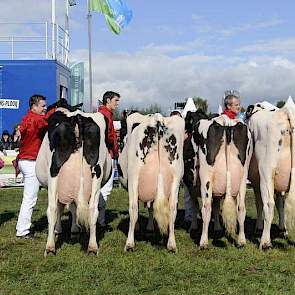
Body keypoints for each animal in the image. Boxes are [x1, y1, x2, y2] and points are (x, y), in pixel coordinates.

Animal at [35, 110, 112, 256]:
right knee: (92, 209)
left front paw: (59, 229)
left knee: (52, 209)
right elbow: (74, 206)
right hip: (96, 173)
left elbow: (61, 207)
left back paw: (50, 247)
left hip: (53, 172)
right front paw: (75, 229)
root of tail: (77, 116)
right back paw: (92, 247)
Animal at [118, 112, 185, 252]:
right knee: (172, 208)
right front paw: (150, 228)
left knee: (133, 208)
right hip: (176, 176)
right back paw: (171, 244)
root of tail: (157, 118)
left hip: (134, 176)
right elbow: (151, 207)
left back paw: (129, 243)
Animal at [192, 114, 254, 249]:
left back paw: (203, 242)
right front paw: (217, 228)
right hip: (243, 177)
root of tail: (226, 122)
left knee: (206, 207)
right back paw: (241, 241)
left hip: (206, 176)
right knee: (241, 208)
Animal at [249, 97, 295, 250]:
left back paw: (265, 242)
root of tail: (285, 111)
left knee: (268, 203)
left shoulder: (256, 181)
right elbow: (281, 204)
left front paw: (258, 228)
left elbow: (259, 203)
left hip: (266, 171)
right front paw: (283, 229)